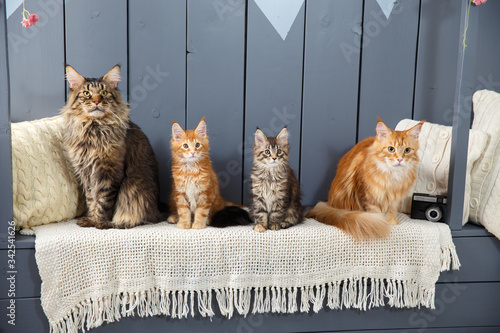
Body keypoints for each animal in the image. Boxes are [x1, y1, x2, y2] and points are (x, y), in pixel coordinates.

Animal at [60, 66, 162, 230]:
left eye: (103, 93)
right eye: (86, 93)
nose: (96, 101)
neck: (93, 130)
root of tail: (158, 210)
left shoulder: (110, 172)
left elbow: (103, 202)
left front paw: (101, 222)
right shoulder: (87, 173)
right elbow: (92, 200)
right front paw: (91, 219)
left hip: (135, 186)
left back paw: (120, 222)